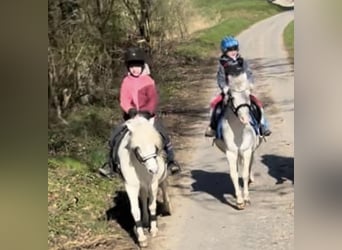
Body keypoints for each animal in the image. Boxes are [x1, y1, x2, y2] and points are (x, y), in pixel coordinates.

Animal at [118, 115, 172, 248]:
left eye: (155, 146)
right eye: (138, 148)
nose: (153, 169)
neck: (140, 166)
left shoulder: (153, 183)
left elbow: (152, 205)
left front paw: (153, 230)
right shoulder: (131, 186)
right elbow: (135, 210)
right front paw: (141, 238)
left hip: (162, 176)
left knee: (164, 187)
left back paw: (167, 207)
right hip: (142, 185)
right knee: (143, 197)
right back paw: (145, 220)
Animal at [215, 72, 260, 209]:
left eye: (248, 95)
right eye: (233, 97)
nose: (245, 119)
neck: (238, 130)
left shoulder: (246, 150)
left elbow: (244, 173)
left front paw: (246, 198)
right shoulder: (231, 153)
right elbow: (234, 175)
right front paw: (239, 201)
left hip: (251, 150)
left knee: (249, 165)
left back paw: (251, 179)